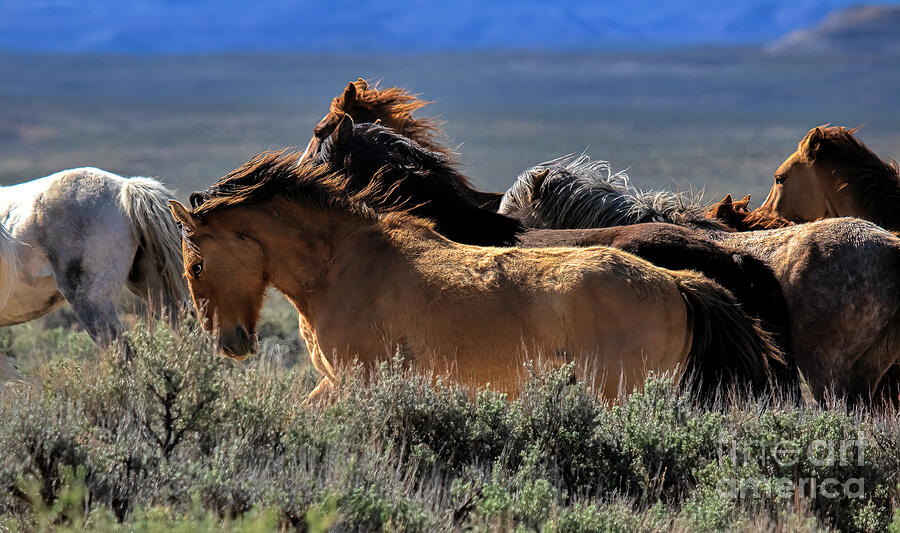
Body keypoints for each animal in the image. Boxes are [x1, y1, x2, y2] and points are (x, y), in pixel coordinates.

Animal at [172, 152, 784, 402]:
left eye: (196, 265)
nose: (228, 344)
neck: (342, 266)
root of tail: (677, 283)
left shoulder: (355, 380)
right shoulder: (335, 381)